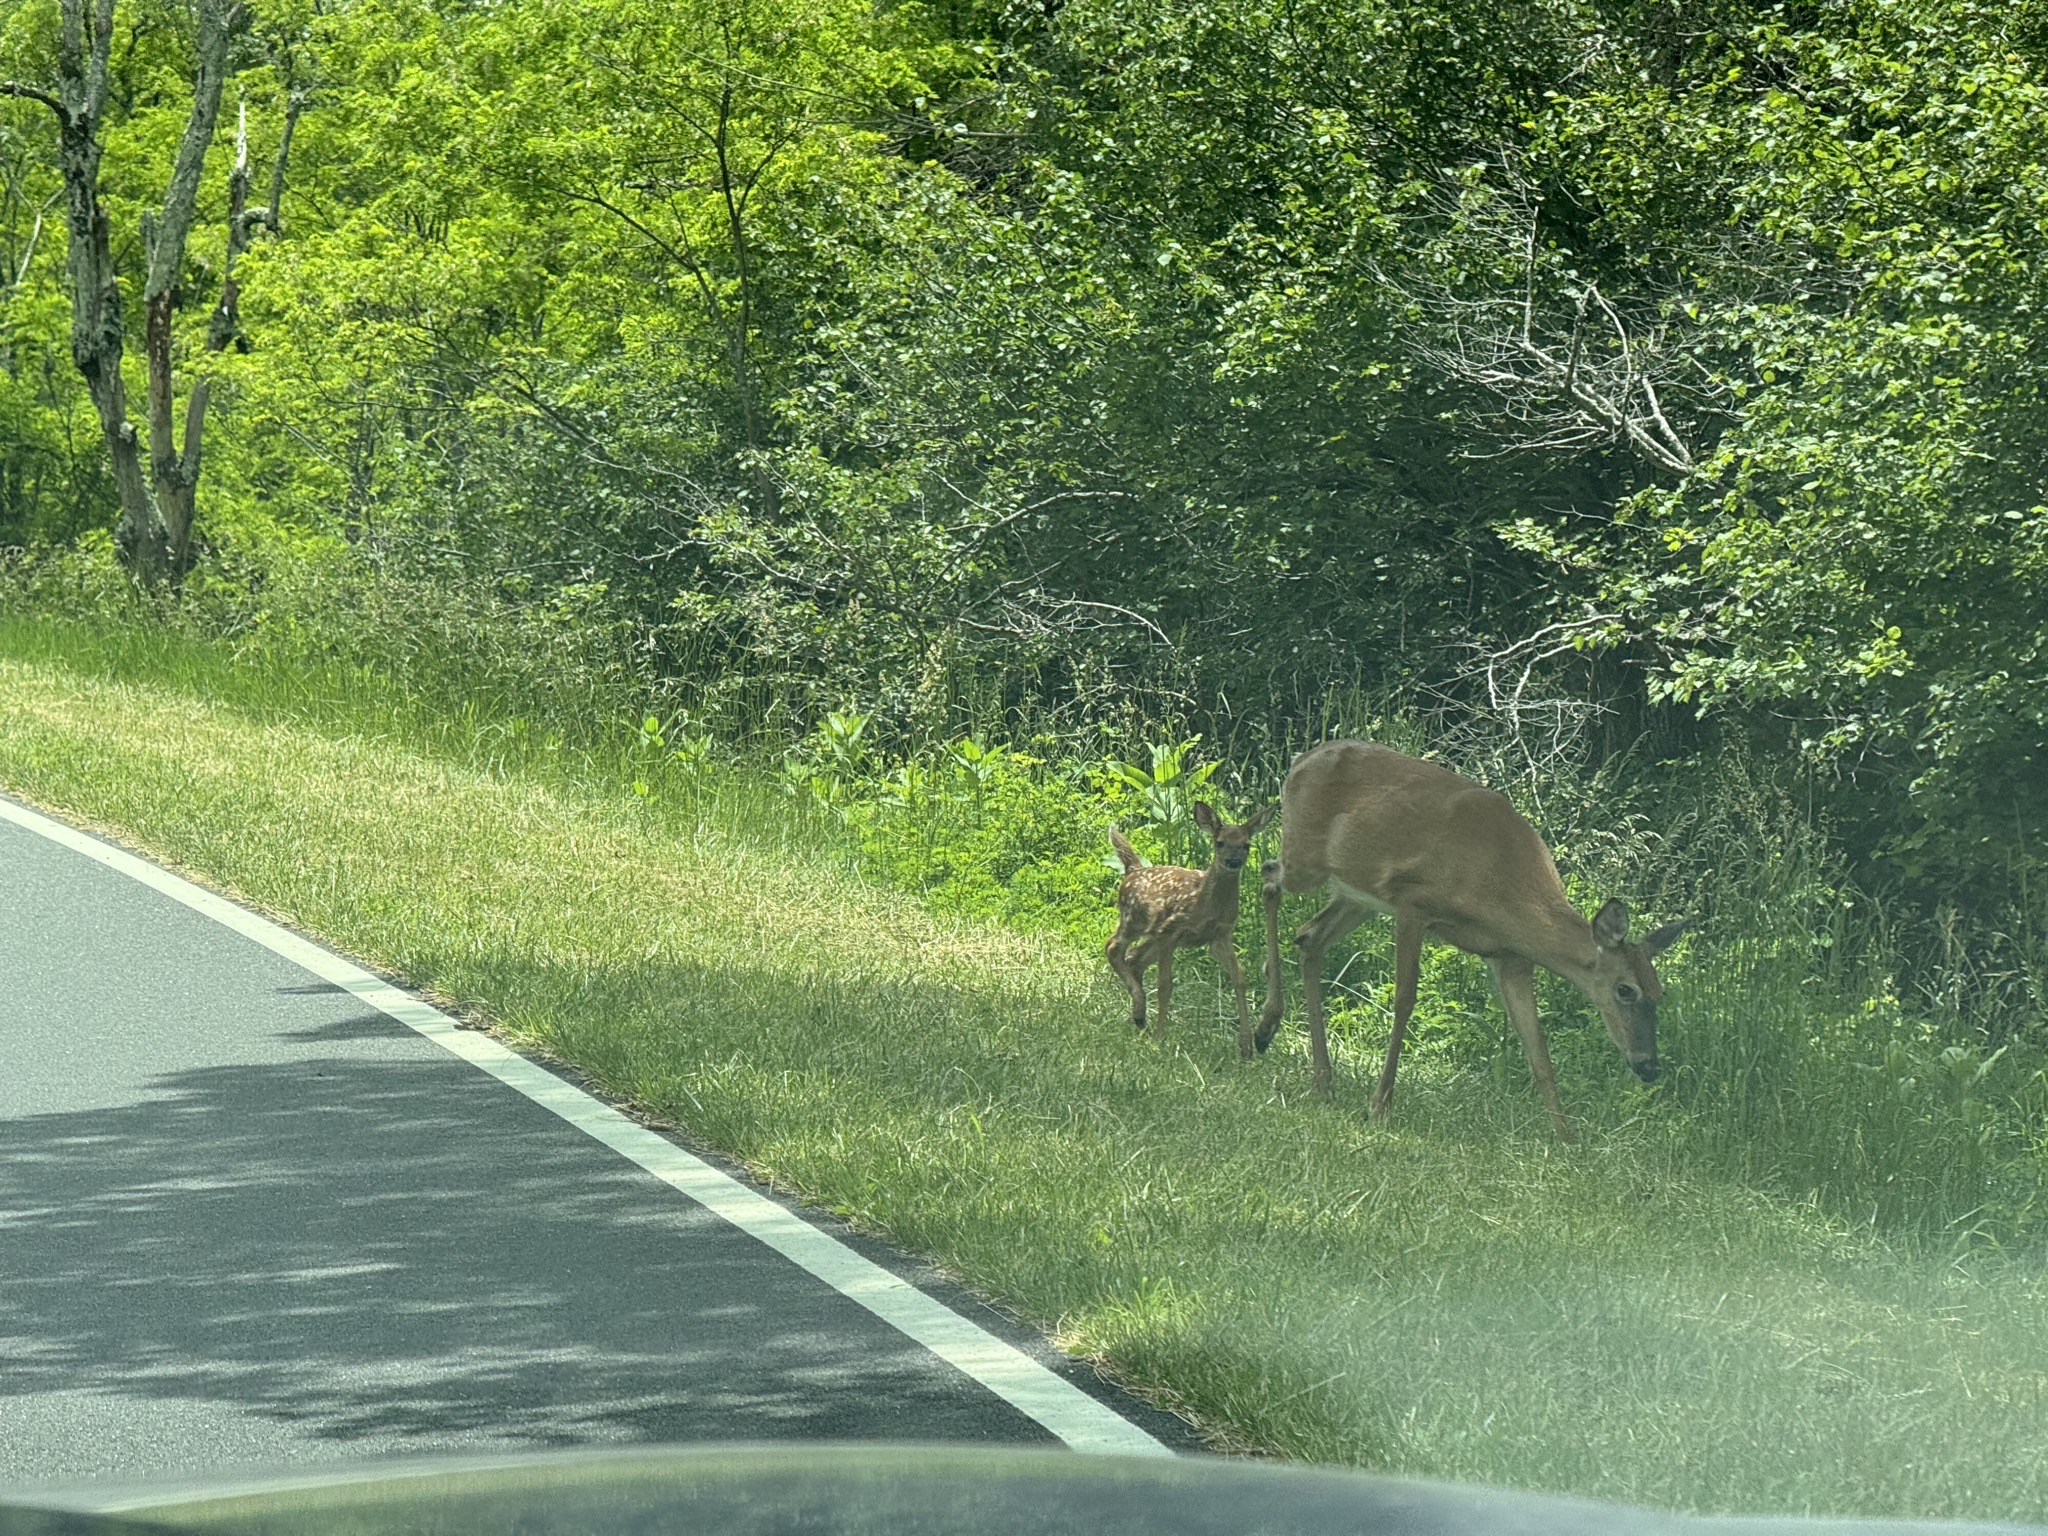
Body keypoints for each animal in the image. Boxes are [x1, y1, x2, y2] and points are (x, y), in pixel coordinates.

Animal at [1107, 802, 1274, 1050]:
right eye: (1219, 842)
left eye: (1246, 844)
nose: (1233, 862)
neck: (1206, 904)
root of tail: (1133, 870)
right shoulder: (1170, 930)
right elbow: (1165, 985)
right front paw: (1159, 1039)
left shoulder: (1220, 935)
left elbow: (1239, 977)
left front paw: (1246, 1045)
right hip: (1133, 919)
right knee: (1113, 948)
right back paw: (1141, 1013)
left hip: (1152, 935)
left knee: (1134, 958)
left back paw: (1140, 1018)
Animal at [1254, 740, 1686, 1140]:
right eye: (1625, 990)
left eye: (1660, 992)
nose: (1649, 1066)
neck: (1502, 888)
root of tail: (1302, 758)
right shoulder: (1413, 903)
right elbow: (1405, 1000)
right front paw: (1380, 1106)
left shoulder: (1512, 957)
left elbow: (1537, 1045)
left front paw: (1566, 1137)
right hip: (1307, 861)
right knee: (1269, 874)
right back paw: (1264, 1027)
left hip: (1357, 896)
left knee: (1309, 936)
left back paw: (1320, 1078)